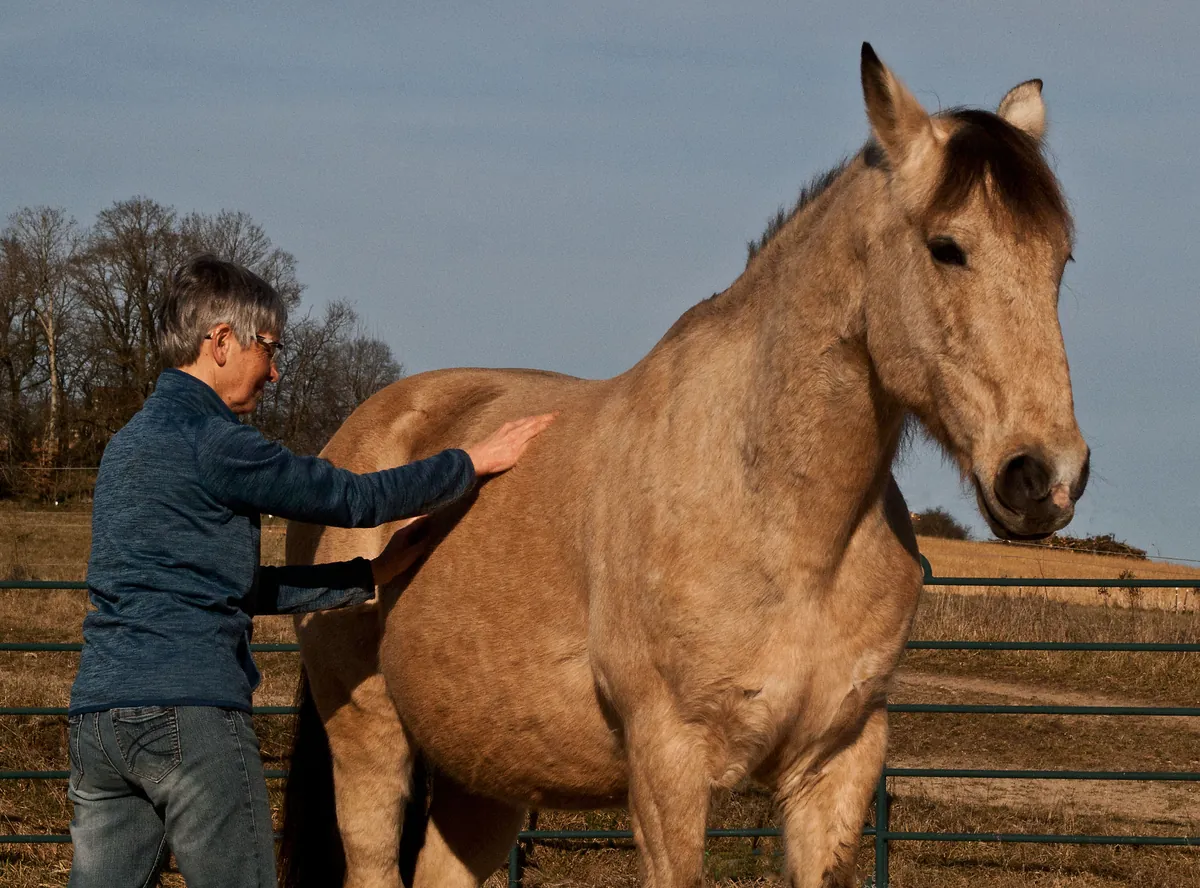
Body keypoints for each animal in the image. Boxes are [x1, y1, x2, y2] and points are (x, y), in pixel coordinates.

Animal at [279, 43, 1089, 888]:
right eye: (947, 247)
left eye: (1059, 259)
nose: (1045, 477)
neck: (780, 522)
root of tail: (366, 427)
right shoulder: (669, 765)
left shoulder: (837, 766)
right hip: (369, 733)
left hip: (484, 768)